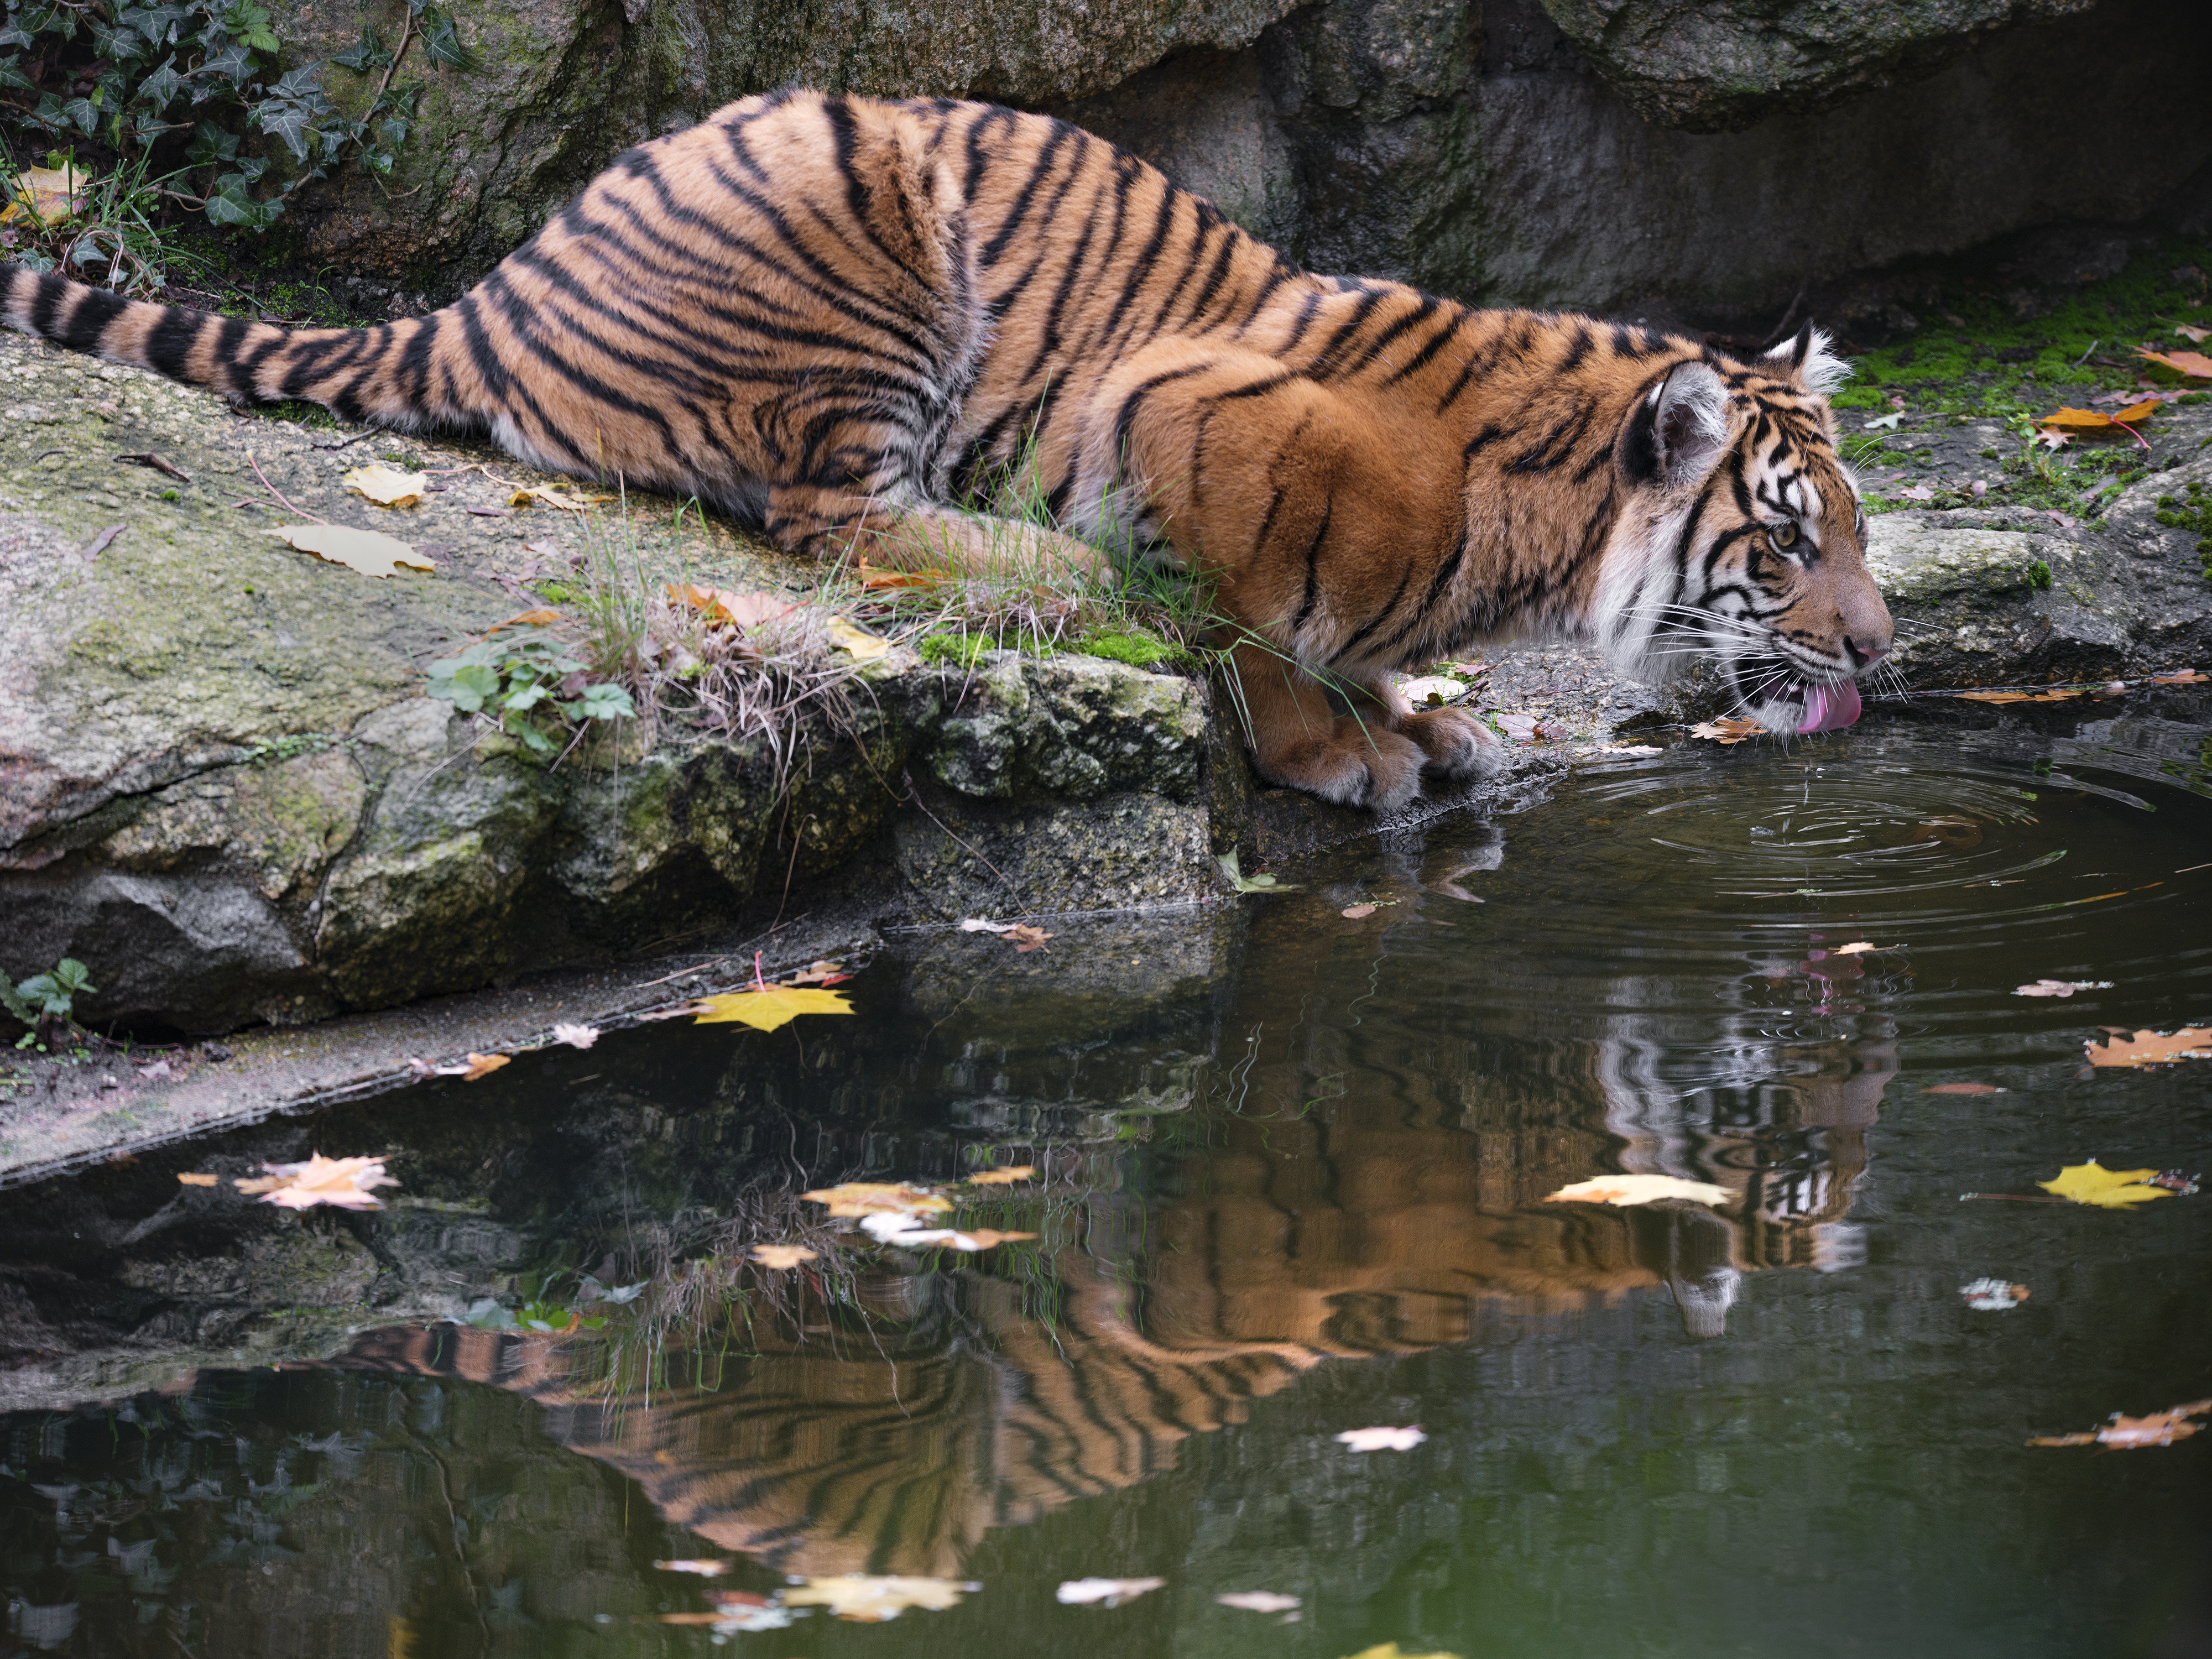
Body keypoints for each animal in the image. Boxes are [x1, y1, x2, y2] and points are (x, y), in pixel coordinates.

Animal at [2, 87, 1892, 812]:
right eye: (1789, 545)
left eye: (1862, 538)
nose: (1885, 651)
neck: (1537, 544)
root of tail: (498, 284)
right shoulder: (1187, 410)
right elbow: (1240, 620)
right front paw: (1334, 749)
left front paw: (1414, 719)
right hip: (863, 239)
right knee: (833, 517)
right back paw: (1053, 565)